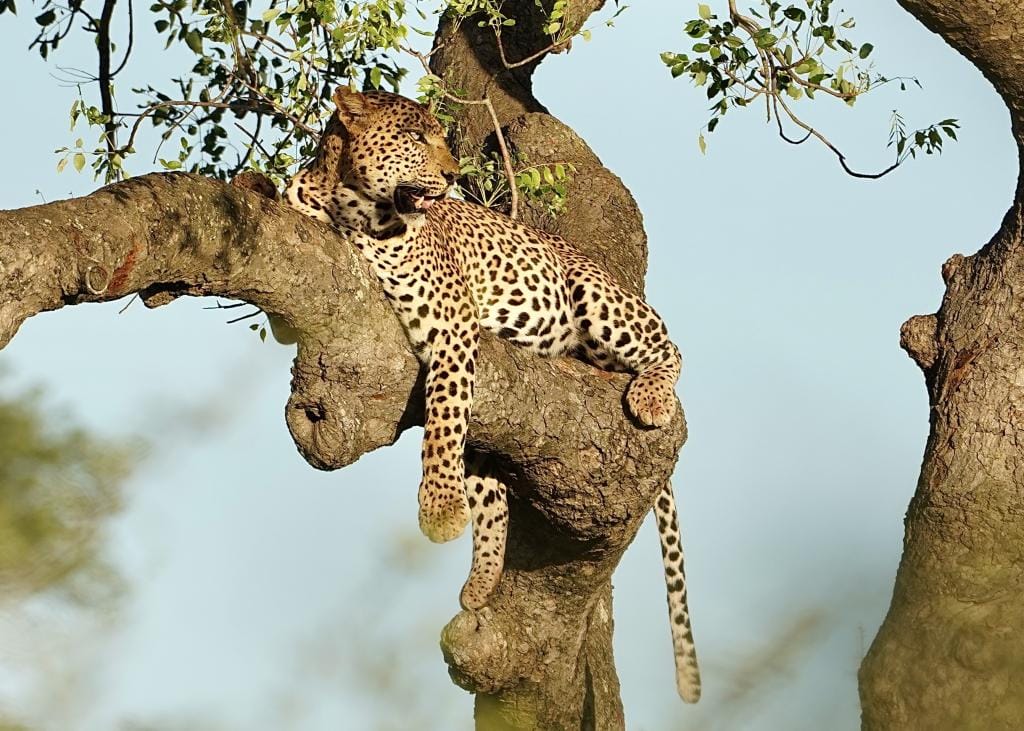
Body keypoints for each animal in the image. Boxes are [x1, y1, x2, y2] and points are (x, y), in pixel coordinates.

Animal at [275, 86, 700, 702]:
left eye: (440, 136)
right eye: (414, 136)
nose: (453, 176)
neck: (348, 206)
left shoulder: (453, 322)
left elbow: (443, 419)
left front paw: (440, 508)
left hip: (597, 296)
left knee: (671, 347)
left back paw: (652, 397)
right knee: (492, 490)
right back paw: (479, 584)